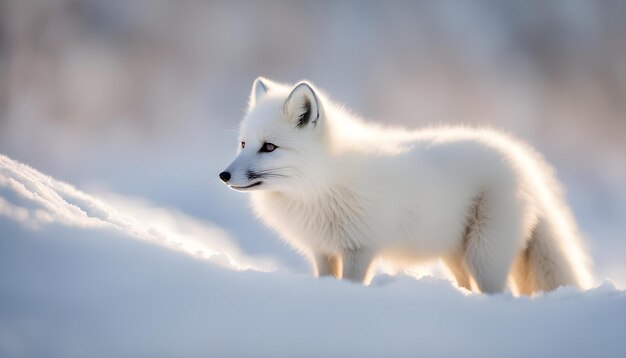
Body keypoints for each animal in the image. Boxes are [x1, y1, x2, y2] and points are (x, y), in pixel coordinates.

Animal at [219, 77, 588, 292]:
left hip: (484, 256)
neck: (320, 185)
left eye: (269, 147)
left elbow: (352, 283)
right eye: (243, 144)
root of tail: (522, 158)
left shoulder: (360, 248)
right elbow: (327, 279)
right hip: (456, 255)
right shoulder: (323, 250)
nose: (224, 175)